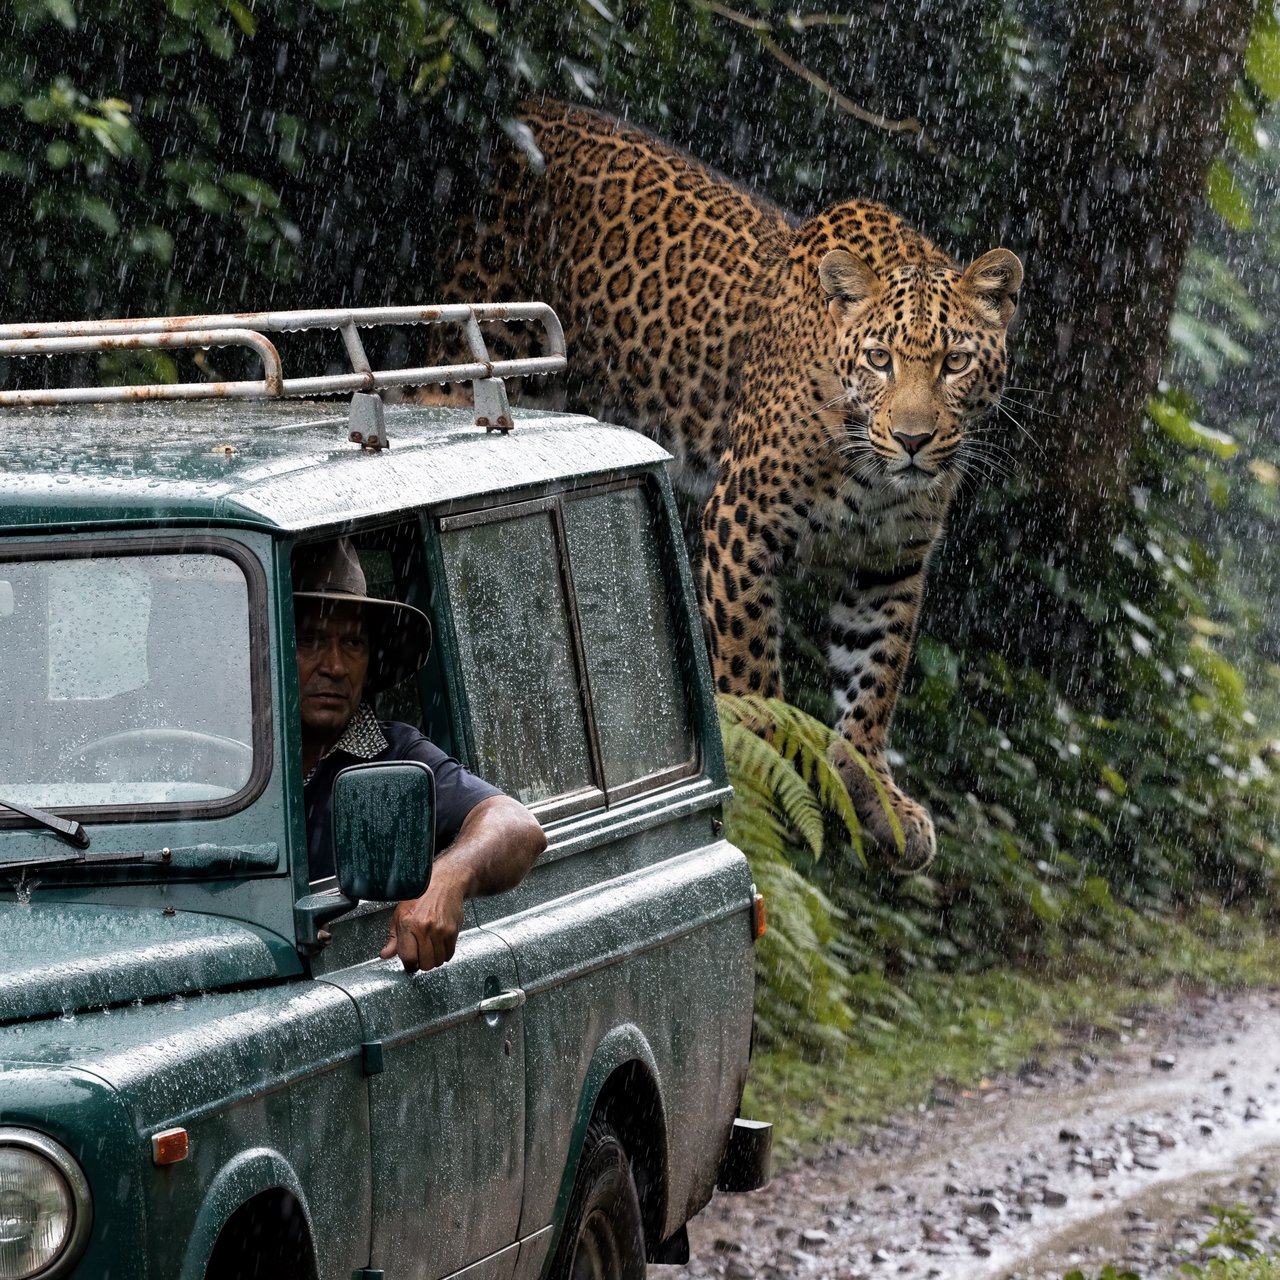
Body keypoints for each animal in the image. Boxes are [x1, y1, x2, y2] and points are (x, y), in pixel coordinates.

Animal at [426, 98, 1023, 873]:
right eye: (880, 359)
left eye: (955, 362)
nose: (916, 439)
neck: (870, 467)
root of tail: (526, 106)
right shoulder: (743, 526)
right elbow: (751, 677)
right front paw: (764, 788)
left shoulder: (890, 564)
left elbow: (875, 680)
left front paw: (875, 792)